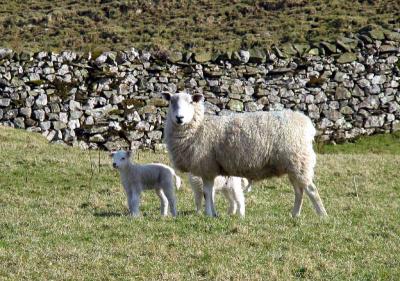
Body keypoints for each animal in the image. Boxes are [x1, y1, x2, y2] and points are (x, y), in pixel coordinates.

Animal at [162, 91, 328, 217]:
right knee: (299, 190)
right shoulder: (210, 169)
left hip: (299, 161)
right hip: (293, 165)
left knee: (311, 190)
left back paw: (322, 215)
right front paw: (213, 214)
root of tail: (306, 123)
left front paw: (209, 214)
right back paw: (295, 214)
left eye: (191, 102)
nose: (179, 118)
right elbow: (208, 192)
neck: (199, 128)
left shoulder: (207, 167)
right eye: (171, 101)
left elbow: (207, 193)